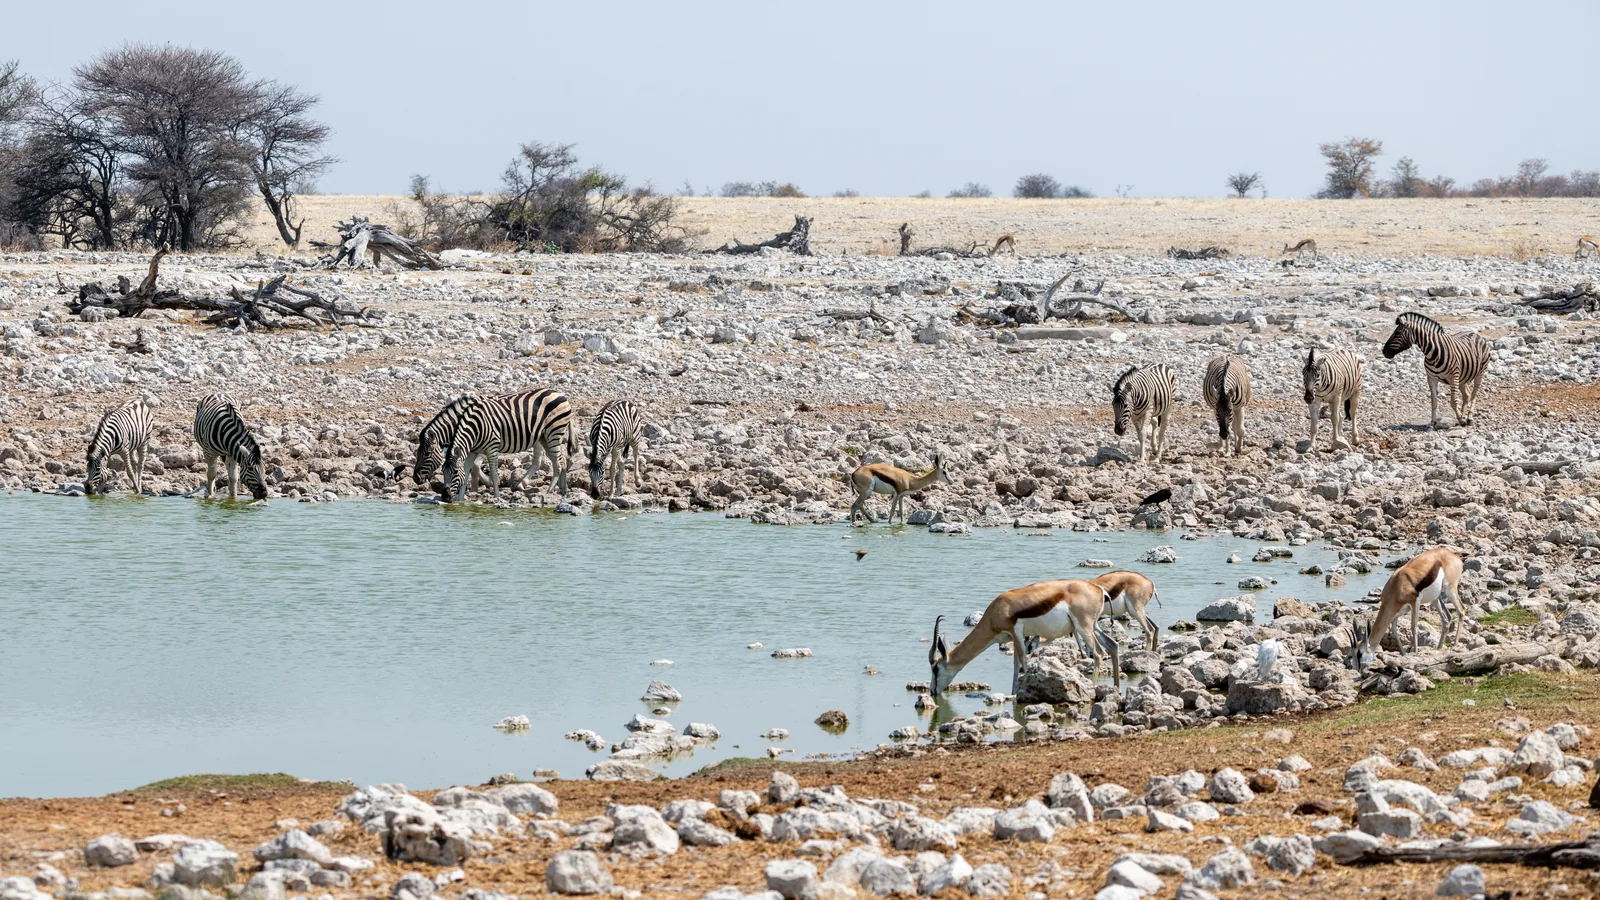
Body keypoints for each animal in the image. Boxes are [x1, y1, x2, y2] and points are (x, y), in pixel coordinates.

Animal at [441, 387, 576, 502]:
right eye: (442, 472)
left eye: (455, 472)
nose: (445, 497)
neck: (476, 428)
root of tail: (560, 394)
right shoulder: (472, 451)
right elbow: (467, 469)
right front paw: (460, 499)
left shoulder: (492, 447)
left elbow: (494, 473)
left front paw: (496, 496)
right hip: (545, 437)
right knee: (561, 459)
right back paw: (562, 489)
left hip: (554, 433)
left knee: (557, 463)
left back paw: (549, 491)